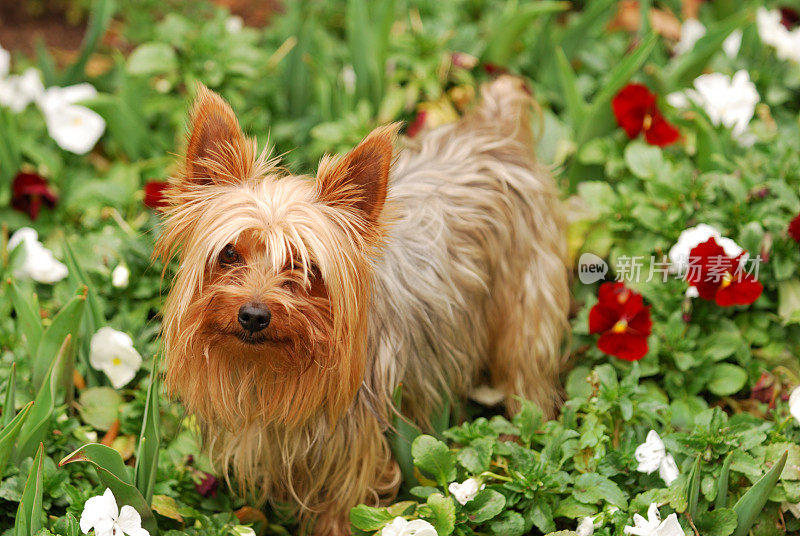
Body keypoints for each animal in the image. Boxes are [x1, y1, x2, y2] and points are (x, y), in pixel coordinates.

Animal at [156, 76, 568, 536]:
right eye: (229, 253)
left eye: (306, 266)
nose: (254, 315)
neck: (271, 372)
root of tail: (495, 131)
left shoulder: (354, 457)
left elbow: (341, 512)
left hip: (527, 306)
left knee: (527, 383)